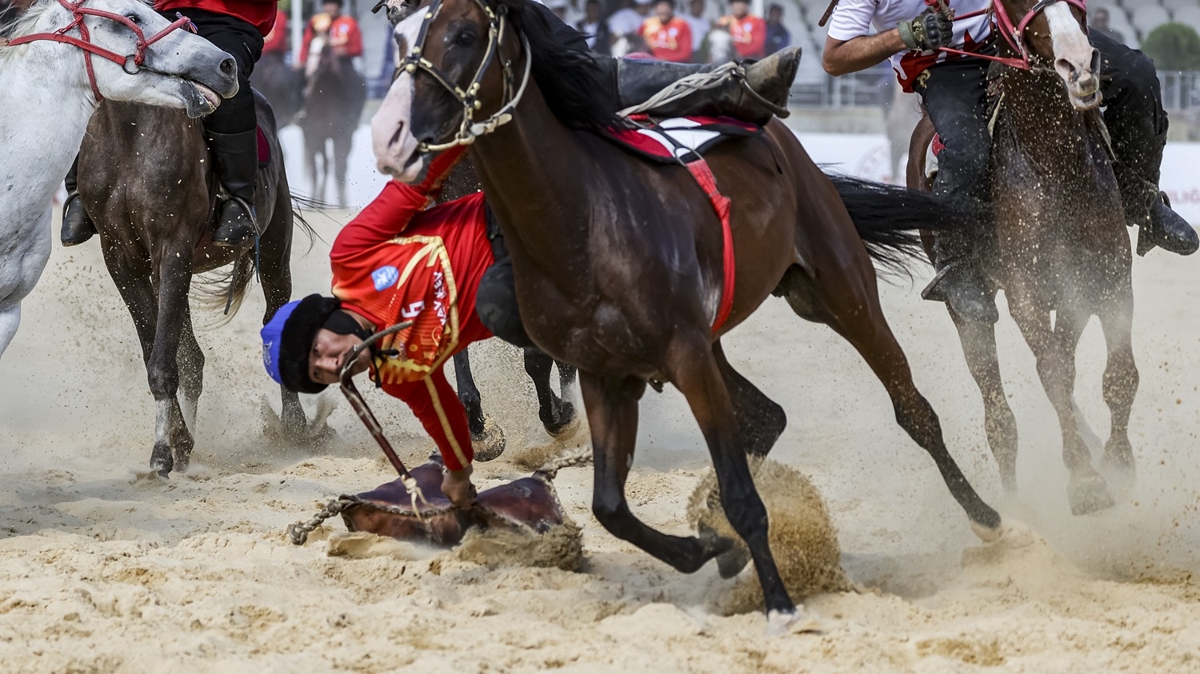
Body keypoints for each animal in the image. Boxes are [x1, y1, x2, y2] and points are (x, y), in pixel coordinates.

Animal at [76, 91, 309, 474]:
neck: (132, 128)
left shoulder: (173, 249)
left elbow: (162, 360)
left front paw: (162, 450)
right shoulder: (121, 259)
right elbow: (157, 349)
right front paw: (178, 441)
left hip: (275, 250)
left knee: (275, 316)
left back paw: (295, 426)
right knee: (192, 359)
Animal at [296, 36, 362, 205]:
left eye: (325, 50)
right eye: (309, 47)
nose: (310, 72)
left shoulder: (344, 136)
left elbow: (340, 167)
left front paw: (343, 201)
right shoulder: (316, 135)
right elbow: (322, 167)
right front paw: (318, 198)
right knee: (317, 167)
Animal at [372, 0, 1003, 628]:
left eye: (463, 35)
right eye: (397, 36)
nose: (391, 135)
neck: (583, 218)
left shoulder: (684, 356)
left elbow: (742, 495)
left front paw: (777, 600)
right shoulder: (611, 373)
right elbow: (610, 506)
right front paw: (711, 545)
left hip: (839, 292)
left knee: (912, 409)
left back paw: (985, 514)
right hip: (717, 338)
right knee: (767, 416)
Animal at [907, 0, 1132, 510]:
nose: (1080, 66)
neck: (1055, 167)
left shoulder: (1108, 276)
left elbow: (1118, 372)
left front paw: (1118, 460)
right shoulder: (1024, 292)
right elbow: (1053, 371)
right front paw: (1084, 480)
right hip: (968, 309)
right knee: (999, 415)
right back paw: (1013, 501)